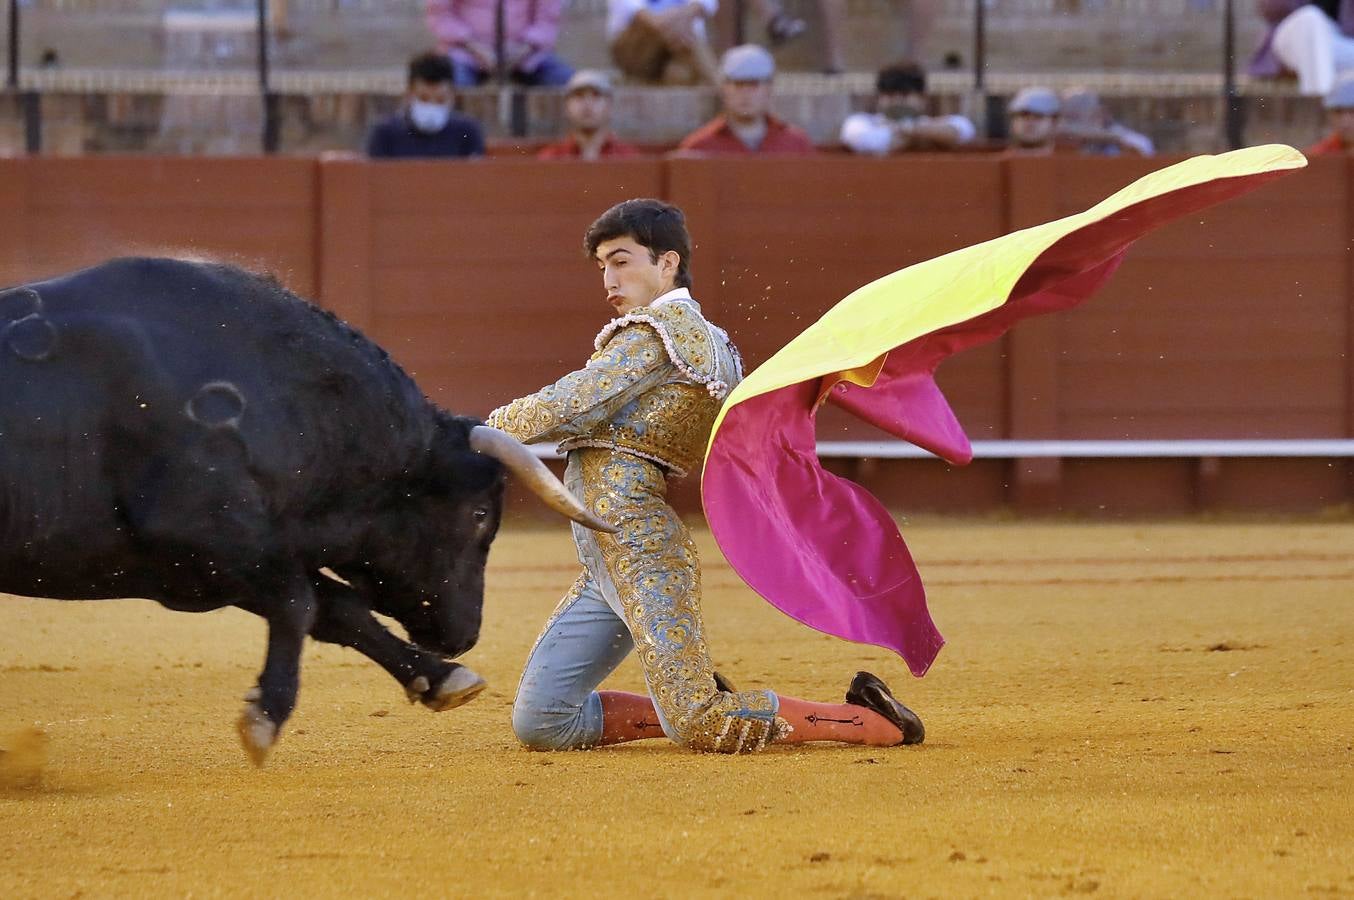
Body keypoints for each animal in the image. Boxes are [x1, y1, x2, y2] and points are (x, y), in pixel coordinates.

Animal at [0, 258, 614, 763]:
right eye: (481, 514)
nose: (464, 636)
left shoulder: (215, 564)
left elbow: (335, 607)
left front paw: (441, 679)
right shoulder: (200, 542)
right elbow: (301, 603)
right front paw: (264, 718)